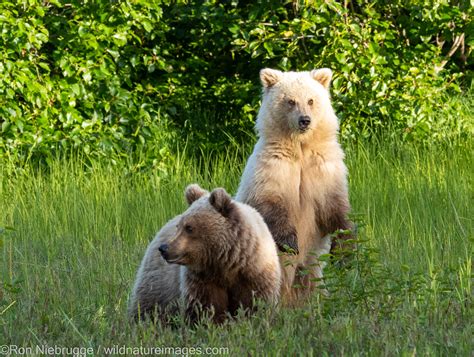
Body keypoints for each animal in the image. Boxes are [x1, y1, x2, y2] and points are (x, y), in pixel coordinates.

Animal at [129, 184, 282, 322]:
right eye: (179, 226)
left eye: (189, 227)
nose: (164, 248)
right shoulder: (202, 279)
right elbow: (206, 307)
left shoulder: (255, 273)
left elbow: (254, 303)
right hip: (157, 284)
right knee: (147, 306)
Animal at [235, 67, 354, 304]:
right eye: (290, 101)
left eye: (311, 100)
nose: (304, 120)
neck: (300, 148)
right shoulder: (273, 169)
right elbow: (270, 204)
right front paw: (291, 242)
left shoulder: (324, 171)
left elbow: (336, 210)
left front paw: (346, 250)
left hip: (311, 268)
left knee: (314, 283)